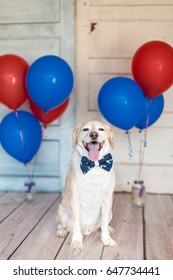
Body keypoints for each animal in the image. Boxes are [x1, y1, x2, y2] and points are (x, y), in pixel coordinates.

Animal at [56, 120, 116, 249]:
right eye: (85, 129)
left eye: (101, 129)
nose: (94, 134)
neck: (94, 165)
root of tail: (88, 231)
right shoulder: (75, 199)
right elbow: (76, 223)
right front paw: (77, 240)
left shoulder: (107, 199)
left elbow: (104, 223)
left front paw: (106, 239)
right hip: (61, 210)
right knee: (61, 225)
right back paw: (61, 231)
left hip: (110, 212)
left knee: (102, 225)